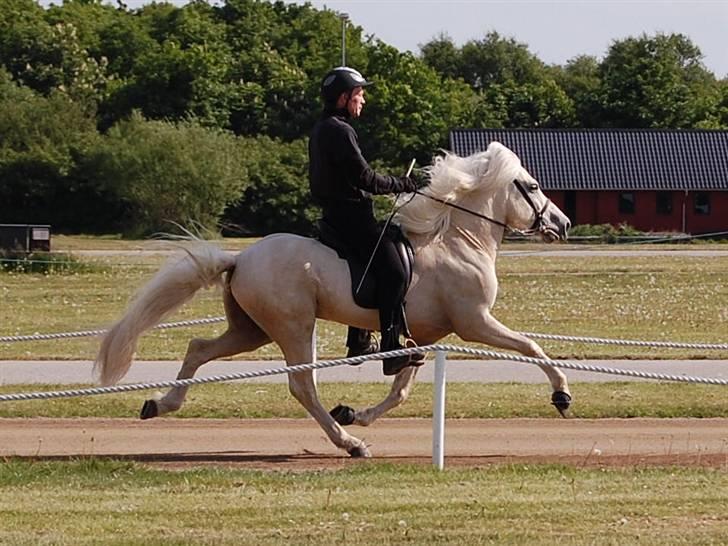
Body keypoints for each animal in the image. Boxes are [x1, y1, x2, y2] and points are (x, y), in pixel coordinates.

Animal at [94, 139, 576, 454]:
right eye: (532, 186)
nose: (564, 224)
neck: (459, 241)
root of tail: (242, 258)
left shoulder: (420, 338)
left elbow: (401, 390)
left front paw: (355, 412)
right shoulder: (474, 324)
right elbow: (532, 347)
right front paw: (561, 396)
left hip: (252, 330)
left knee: (198, 347)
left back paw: (160, 404)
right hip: (294, 327)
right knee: (302, 386)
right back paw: (350, 444)